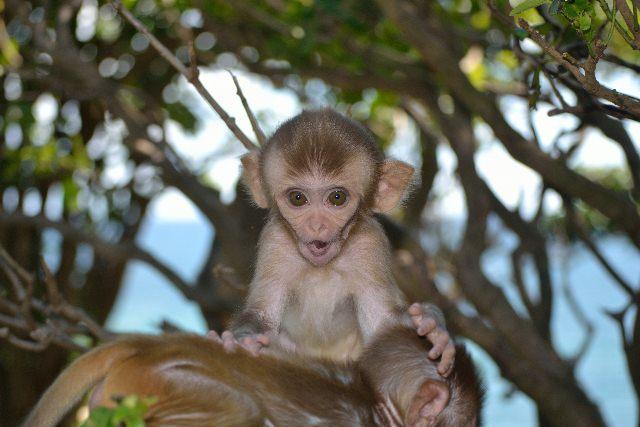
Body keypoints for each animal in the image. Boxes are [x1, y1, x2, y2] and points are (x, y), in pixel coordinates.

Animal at [220, 108, 456, 376]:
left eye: (337, 197)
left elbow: (383, 323)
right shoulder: (275, 241)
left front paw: (432, 327)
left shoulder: (369, 243)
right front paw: (245, 340)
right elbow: (261, 313)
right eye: (297, 198)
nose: (317, 225)